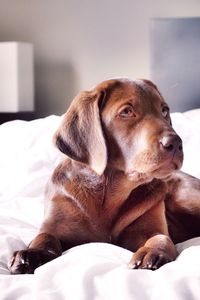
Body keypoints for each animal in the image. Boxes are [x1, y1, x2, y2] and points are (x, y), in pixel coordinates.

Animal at [9, 78, 200, 274]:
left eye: (164, 111)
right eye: (126, 112)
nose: (176, 143)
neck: (108, 192)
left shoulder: (151, 228)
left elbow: (161, 238)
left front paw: (152, 252)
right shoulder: (56, 223)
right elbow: (44, 237)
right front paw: (30, 254)